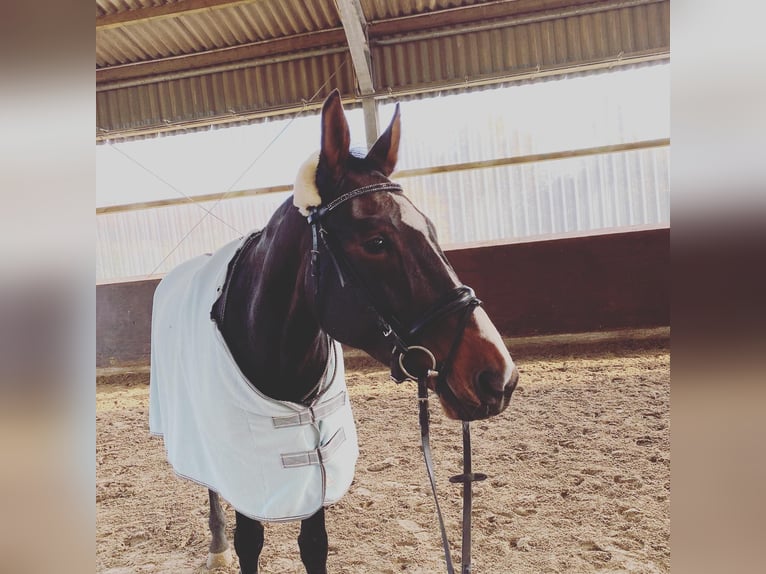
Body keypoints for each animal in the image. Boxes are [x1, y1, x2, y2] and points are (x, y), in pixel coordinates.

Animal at [149, 89, 519, 574]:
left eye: (432, 230)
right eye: (376, 242)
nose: (498, 376)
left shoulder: (318, 466)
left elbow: (314, 544)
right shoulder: (248, 470)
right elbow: (251, 540)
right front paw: (232, 543)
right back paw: (217, 545)